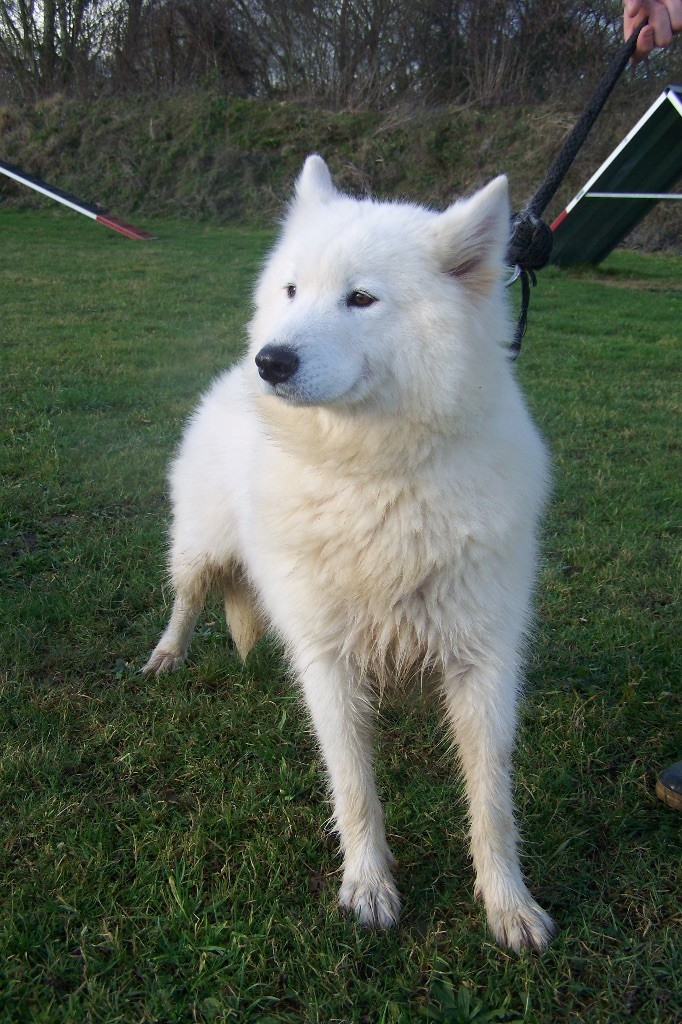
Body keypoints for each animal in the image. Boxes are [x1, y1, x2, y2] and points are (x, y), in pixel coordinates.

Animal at [143, 153, 552, 950]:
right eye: (292, 290)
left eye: (361, 299)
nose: (271, 360)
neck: (376, 476)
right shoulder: (327, 660)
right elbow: (355, 789)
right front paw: (368, 886)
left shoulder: (482, 660)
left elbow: (492, 799)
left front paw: (507, 902)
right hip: (200, 547)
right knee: (189, 597)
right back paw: (167, 655)